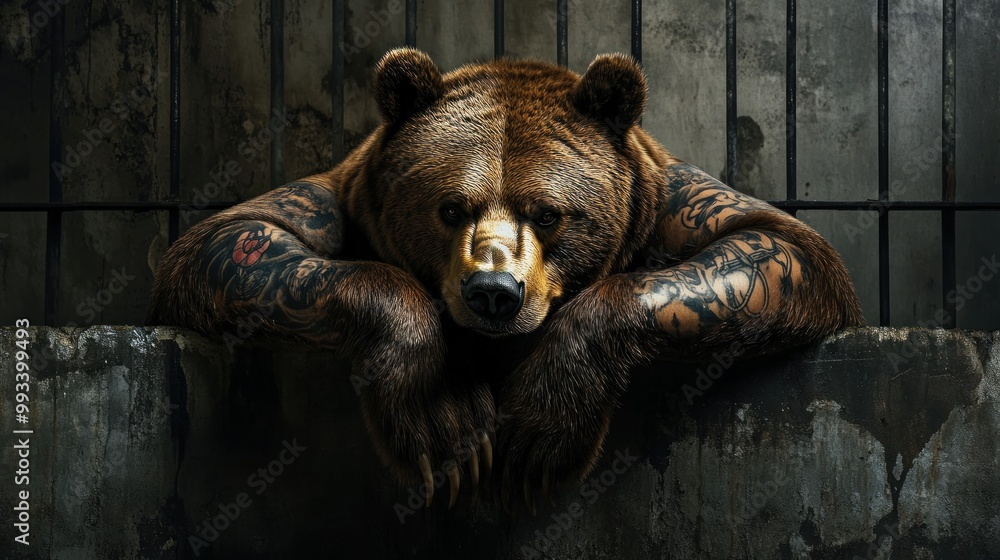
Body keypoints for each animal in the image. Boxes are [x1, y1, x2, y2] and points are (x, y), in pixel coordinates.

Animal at [147, 48, 863, 513]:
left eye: (548, 212)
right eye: (450, 207)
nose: (494, 292)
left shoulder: (675, 204)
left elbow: (774, 243)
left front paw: (541, 428)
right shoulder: (336, 202)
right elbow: (238, 239)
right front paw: (445, 415)